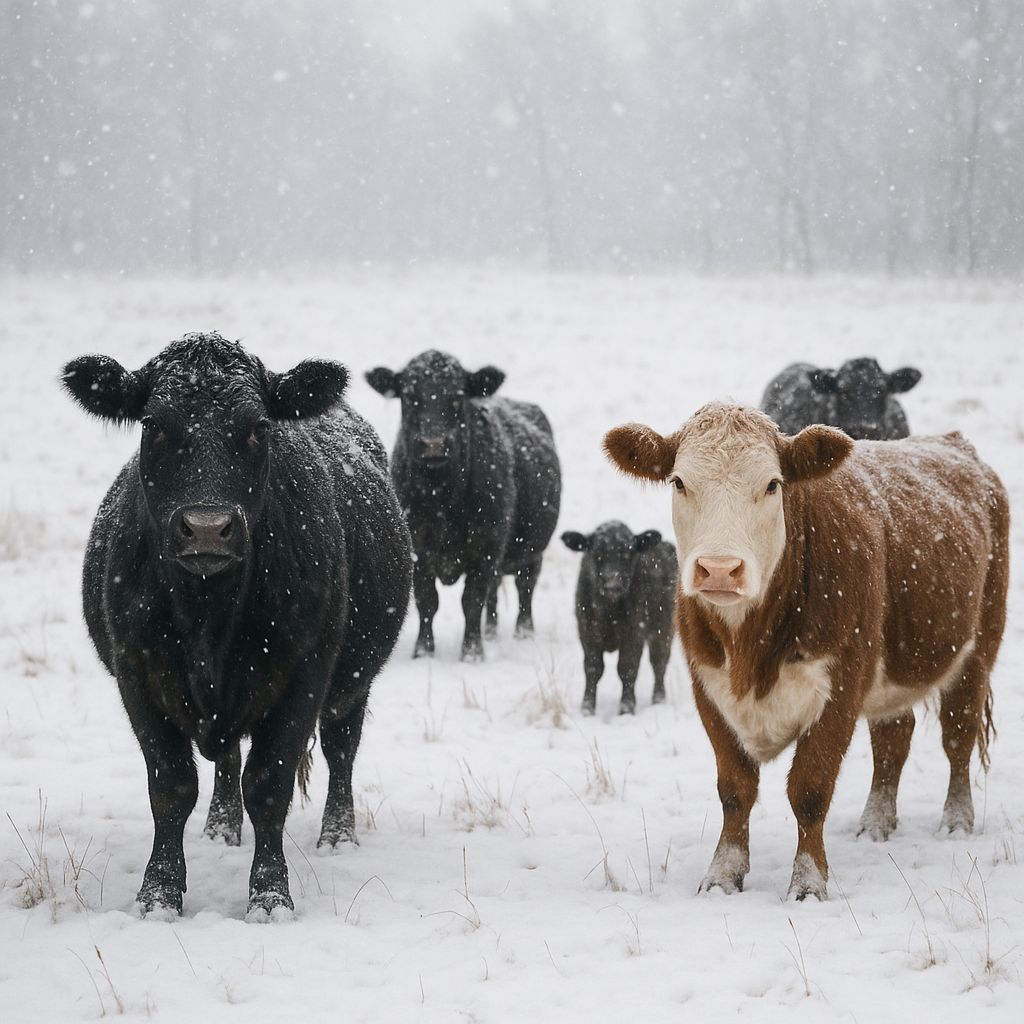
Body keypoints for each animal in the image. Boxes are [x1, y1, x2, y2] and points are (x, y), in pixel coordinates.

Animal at [62, 333, 412, 920]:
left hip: (352, 680)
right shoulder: (137, 676)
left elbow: (269, 785)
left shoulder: (303, 675)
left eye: (258, 427)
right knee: (226, 758)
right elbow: (171, 786)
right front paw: (159, 894)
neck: (208, 615)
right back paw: (221, 828)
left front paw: (270, 896)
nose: (207, 528)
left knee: (341, 748)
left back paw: (338, 836)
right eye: (153, 424)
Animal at [366, 350, 561, 661]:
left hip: (532, 550)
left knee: (525, 588)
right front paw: (423, 651)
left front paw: (472, 653)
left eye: (458, 397)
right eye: (408, 396)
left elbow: (472, 601)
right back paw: (491, 632)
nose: (433, 443)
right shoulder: (418, 549)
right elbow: (427, 602)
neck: (441, 498)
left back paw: (523, 633)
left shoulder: (486, 546)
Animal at [561, 522, 677, 715]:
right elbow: (593, 669)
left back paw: (658, 700)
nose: (612, 580)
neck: (610, 610)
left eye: (628, 552)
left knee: (659, 663)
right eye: (596, 551)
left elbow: (627, 669)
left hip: (663, 629)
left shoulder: (634, 634)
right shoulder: (587, 632)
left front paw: (626, 709)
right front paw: (587, 708)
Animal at [604, 401, 1008, 900]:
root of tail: (952, 442)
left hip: (978, 650)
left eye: (772, 484)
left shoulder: (841, 686)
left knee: (958, 735)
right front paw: (722, 874)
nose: (719, 569)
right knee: (894, 738)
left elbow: (810, 790)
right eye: (679, 481)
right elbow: (734, 789)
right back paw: (876, 823)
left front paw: (809, 882)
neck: (750, 650)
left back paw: (956, 820)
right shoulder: (707, 687)